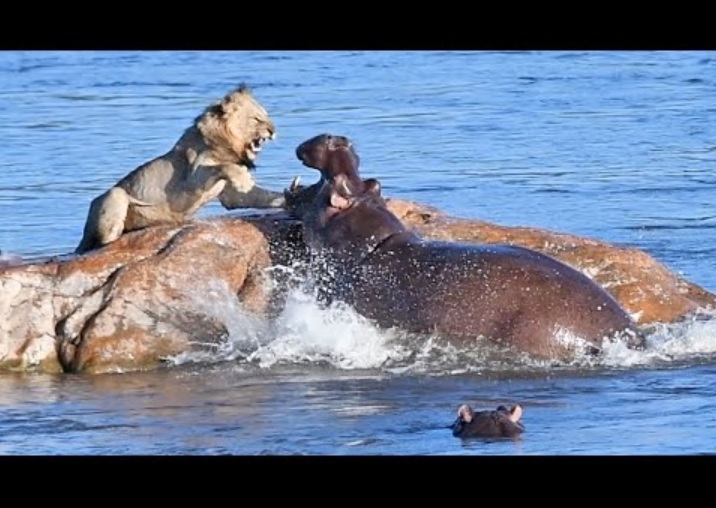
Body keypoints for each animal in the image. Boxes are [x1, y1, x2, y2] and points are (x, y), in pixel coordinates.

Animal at [73, 85, 286, 256]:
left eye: (266, 115)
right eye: (256, 119)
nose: (274, 131)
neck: (229, 144)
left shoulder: (230, 196)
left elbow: (261, 196)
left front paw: (288, 196)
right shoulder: (191, 180)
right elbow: (225, 166)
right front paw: (244, 179)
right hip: (114, 194)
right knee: (102, 240)